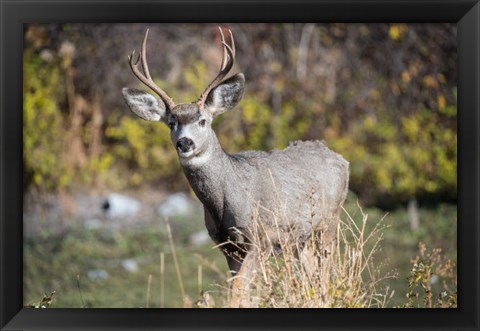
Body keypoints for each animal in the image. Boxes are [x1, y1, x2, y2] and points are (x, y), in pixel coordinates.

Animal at [122, 27, 348, 308]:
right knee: (313, 276)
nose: (185, 143)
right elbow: (238, 290)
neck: (225, 198)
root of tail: (341, 159)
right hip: (301, 239)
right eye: (171, 122)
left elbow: (240, 290)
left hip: (328, 222)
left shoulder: (259, 238)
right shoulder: (227, 245)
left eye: (203, 120)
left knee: (324, 272)